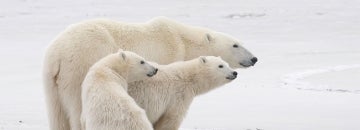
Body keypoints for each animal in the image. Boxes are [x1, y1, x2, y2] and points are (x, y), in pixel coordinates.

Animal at [43, 16, 256, 130]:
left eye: (241, 42)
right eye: (235, 45)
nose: (254, 59)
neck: (183, 41)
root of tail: (57, 54)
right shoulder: (169, 54)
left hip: (52, 81)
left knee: (57, 113)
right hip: (79, 65)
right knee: (77, 107)